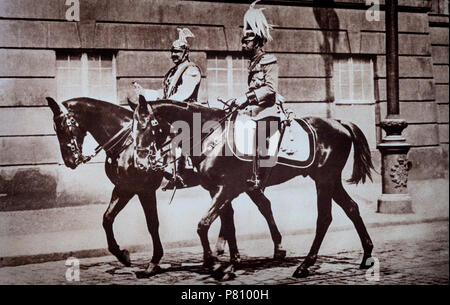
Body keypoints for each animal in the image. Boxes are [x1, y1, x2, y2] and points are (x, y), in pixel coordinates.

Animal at [47, 96, 239, 274]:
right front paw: (122, 255)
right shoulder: (124, 188)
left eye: (63, 128)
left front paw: (154, 261)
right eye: (55, 130)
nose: (70, 161)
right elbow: (107, 218)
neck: (126, 145)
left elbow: (152, 224)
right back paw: (223, 250)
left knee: (225, 212)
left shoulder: (144, 190)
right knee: (226, 212)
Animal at [134, 95, 376, 278]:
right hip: (331, 180)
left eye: (145, 125)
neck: (212, 136)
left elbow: (203, 225)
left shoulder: (227, 188)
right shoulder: (218, 190)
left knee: (324, 218)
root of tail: (340, 123)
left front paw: (214, 263)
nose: (140, 161)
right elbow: (229, 225)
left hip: (324, 180)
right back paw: (367, 256)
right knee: (352, 208)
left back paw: (305, 265)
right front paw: (231, 264)